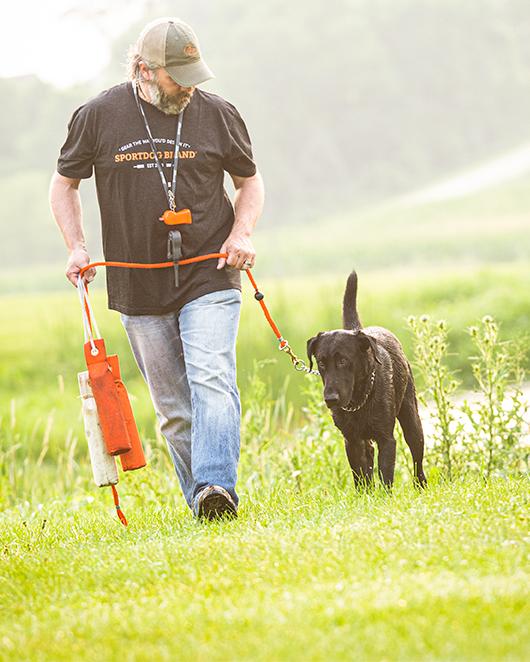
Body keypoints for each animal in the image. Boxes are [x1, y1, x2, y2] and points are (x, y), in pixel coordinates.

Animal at [306, 272, 424, 490]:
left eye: (343, 360)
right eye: (321, 363)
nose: (331, 399)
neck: (359, 399)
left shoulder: (386, 439)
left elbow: (385, 477)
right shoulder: (352, 441)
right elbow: (361, 479)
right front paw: (366, 497)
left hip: (412, 419)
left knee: (417, 458)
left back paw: (421, 485)